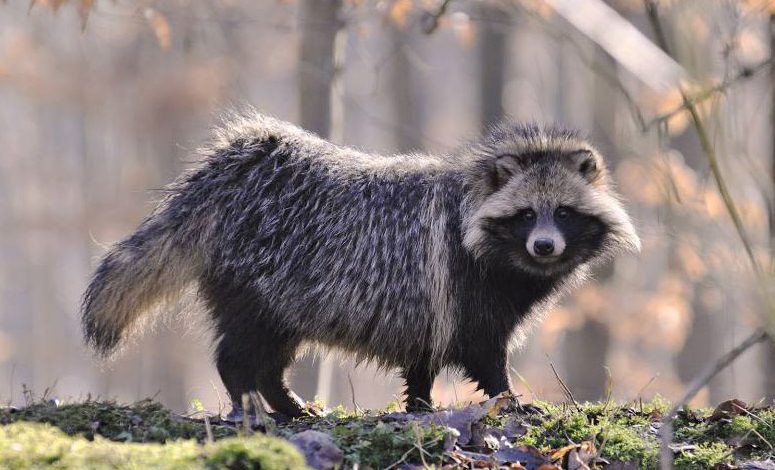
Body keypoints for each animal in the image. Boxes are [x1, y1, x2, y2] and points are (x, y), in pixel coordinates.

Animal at [80, 112, 644, 416]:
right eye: (527, 215)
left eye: (564, 212)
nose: (544, 247)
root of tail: (234, 171)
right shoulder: (463, 287)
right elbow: (484, 352)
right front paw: (508, 398)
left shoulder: (429, 301)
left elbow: (423, 358)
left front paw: (419, 404)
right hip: (260, 281)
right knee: (240, 352)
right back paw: (255, 399)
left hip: (284, 297)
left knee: (270, 356)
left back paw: (282, 400)